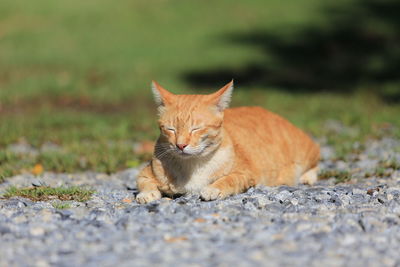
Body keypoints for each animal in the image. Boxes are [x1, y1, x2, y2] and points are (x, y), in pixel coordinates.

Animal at [136, 80, 320, 204]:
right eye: (171, 129)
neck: (193, 166)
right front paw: (146, 194)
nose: (180, 145)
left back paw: (307, 177)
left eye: (196, 129)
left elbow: (229, 179)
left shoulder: (245, 174)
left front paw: (213, 188)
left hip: (305, 151)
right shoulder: (145, 172)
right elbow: (143, 182)